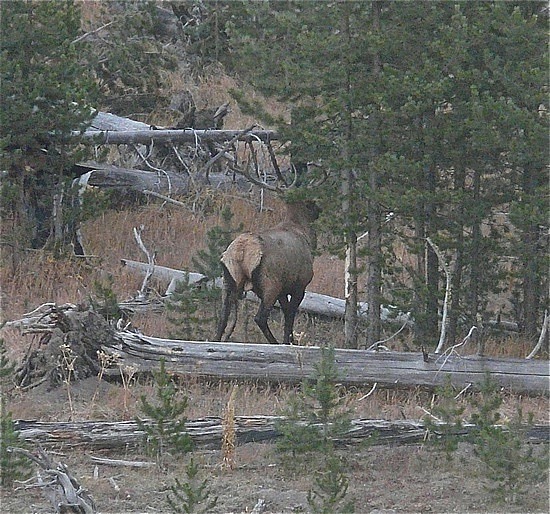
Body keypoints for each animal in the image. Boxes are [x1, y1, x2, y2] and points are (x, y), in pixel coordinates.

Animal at [216, 197, 320, 344]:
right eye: (311, 203)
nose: (319, 211)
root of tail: (241, 251)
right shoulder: (299, 286)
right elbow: (290, 314)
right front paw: (288, 341)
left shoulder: (283, 291)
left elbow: (286, 311)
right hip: (271, 284)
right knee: (260, 318)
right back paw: (275, 342)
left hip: (227, 282)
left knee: (223, 318)